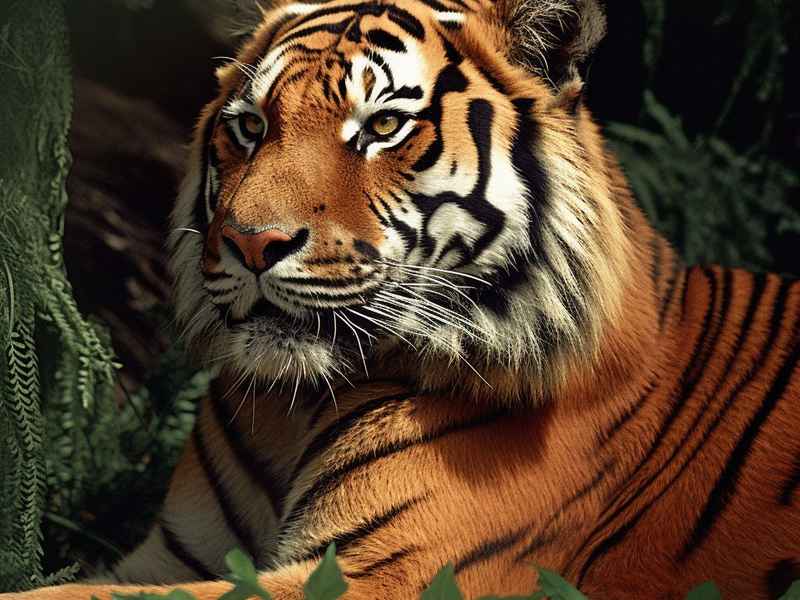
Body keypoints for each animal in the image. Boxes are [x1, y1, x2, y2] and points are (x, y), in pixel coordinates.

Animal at [3, 0, 799, 598]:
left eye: (383, 126)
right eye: (251, 127)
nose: (251, 243)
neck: (292, 411)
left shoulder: (384, 572)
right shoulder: (171, 556)